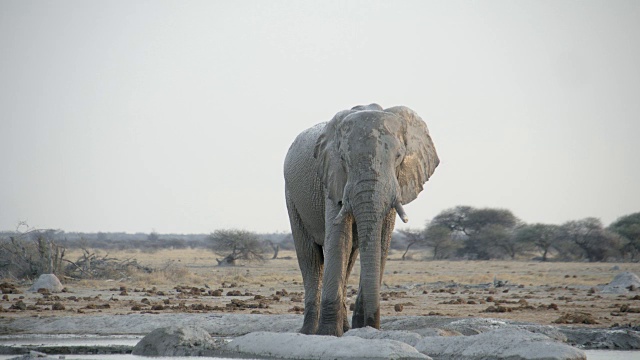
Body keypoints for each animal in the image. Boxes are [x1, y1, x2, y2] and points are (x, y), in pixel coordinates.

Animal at [284, 102, 440, 336]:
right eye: (344, 159)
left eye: (399, 156)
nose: (371, 324)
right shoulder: (332, 178)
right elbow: (339, 239)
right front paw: (328, 333)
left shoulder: (396, 182)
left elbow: (382, 243)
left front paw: (362, 329)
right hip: (292, 197)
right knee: (310, 256)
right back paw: (309, 332)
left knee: (350, 256)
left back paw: (346, 329)